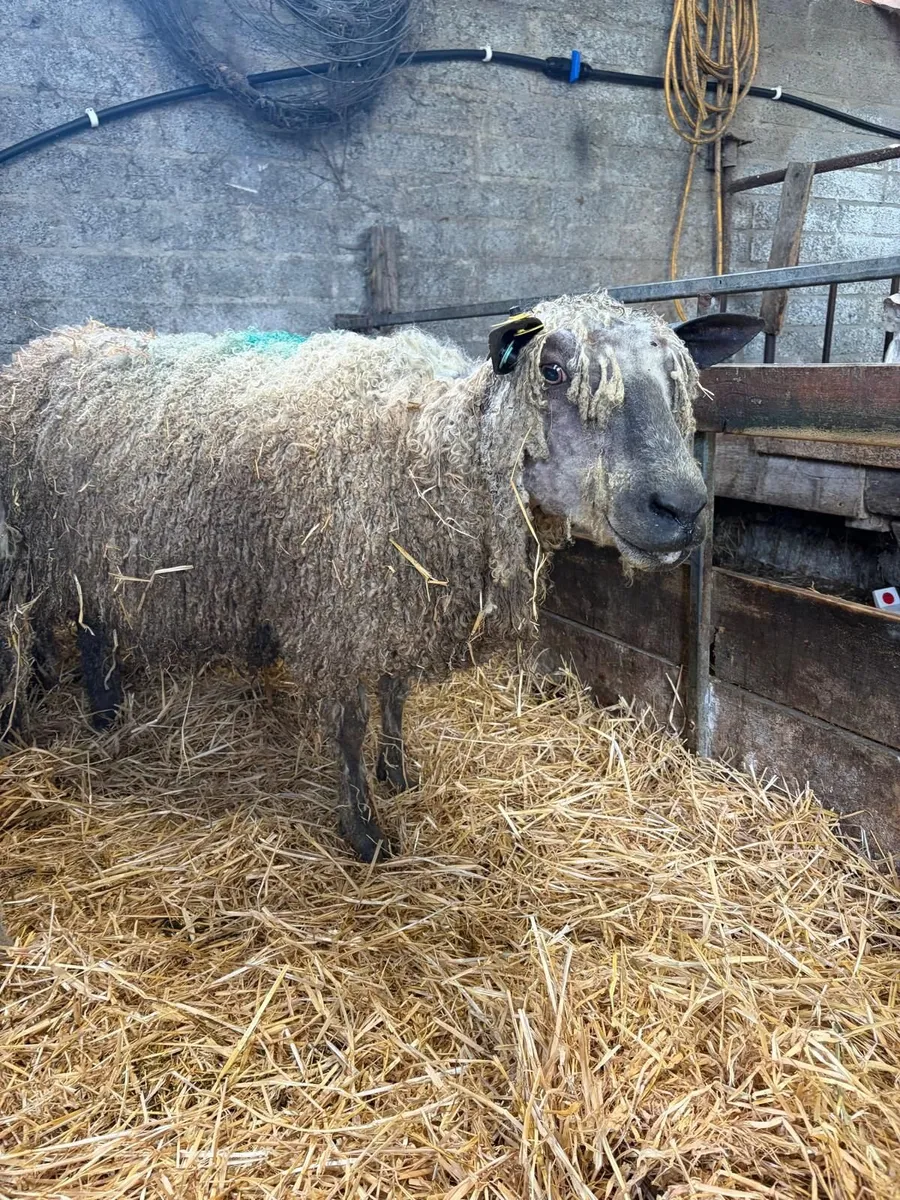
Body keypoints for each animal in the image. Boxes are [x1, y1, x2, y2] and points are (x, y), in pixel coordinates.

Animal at [0, 294, 762, 860]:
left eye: (680, 380)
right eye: (551, 372)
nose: (681, 507)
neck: (438, 452)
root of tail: (54, 342)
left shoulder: (398, 601)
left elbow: (395, 697)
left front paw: (397, 774)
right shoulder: (343, 609)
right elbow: (349, 724)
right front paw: (364, 832)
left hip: (92, 551)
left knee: (94, 626)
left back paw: (105, 714)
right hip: (55, 547)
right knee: (77, 628)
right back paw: (87, 715)